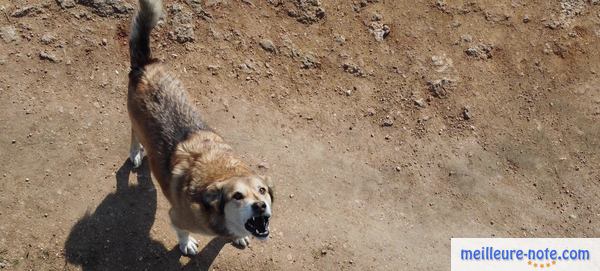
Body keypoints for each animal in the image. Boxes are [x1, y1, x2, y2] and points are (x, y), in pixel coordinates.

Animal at [127, 0, 276, 256]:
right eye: (237, 196)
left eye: (262, 191)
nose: (260, 206)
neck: (223, 173)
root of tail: (145, 65)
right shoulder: (176, 216)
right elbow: (182, 231)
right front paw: (186, 243)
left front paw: (239, 237)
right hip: (135, 122)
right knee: (134, 134)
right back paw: (136, 152)